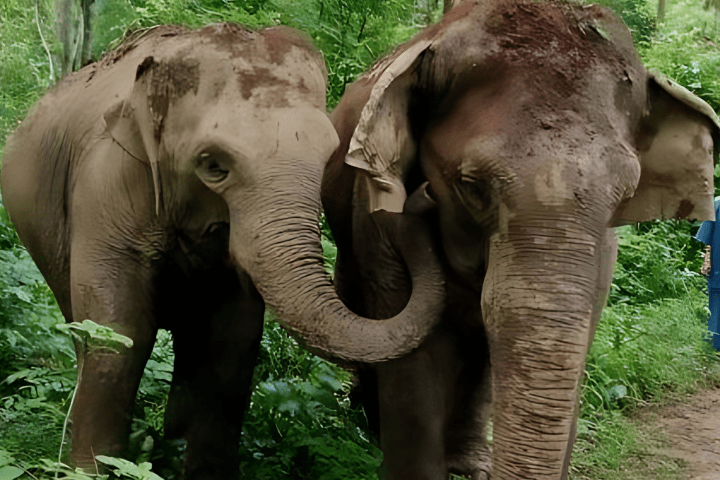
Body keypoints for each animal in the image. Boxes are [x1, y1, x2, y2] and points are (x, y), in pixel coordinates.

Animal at [0, 23, 447, 478]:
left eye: (328, 157)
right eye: (213, 166)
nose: (420, 195)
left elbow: (231, 342)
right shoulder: (106, 185)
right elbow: (119, 332)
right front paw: (92, 470)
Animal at [321, 0, 720, 478]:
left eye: (625, 197)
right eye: (471, 186)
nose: (421, 200)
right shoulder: (376, 215)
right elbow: (414, 363)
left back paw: (469, 463)